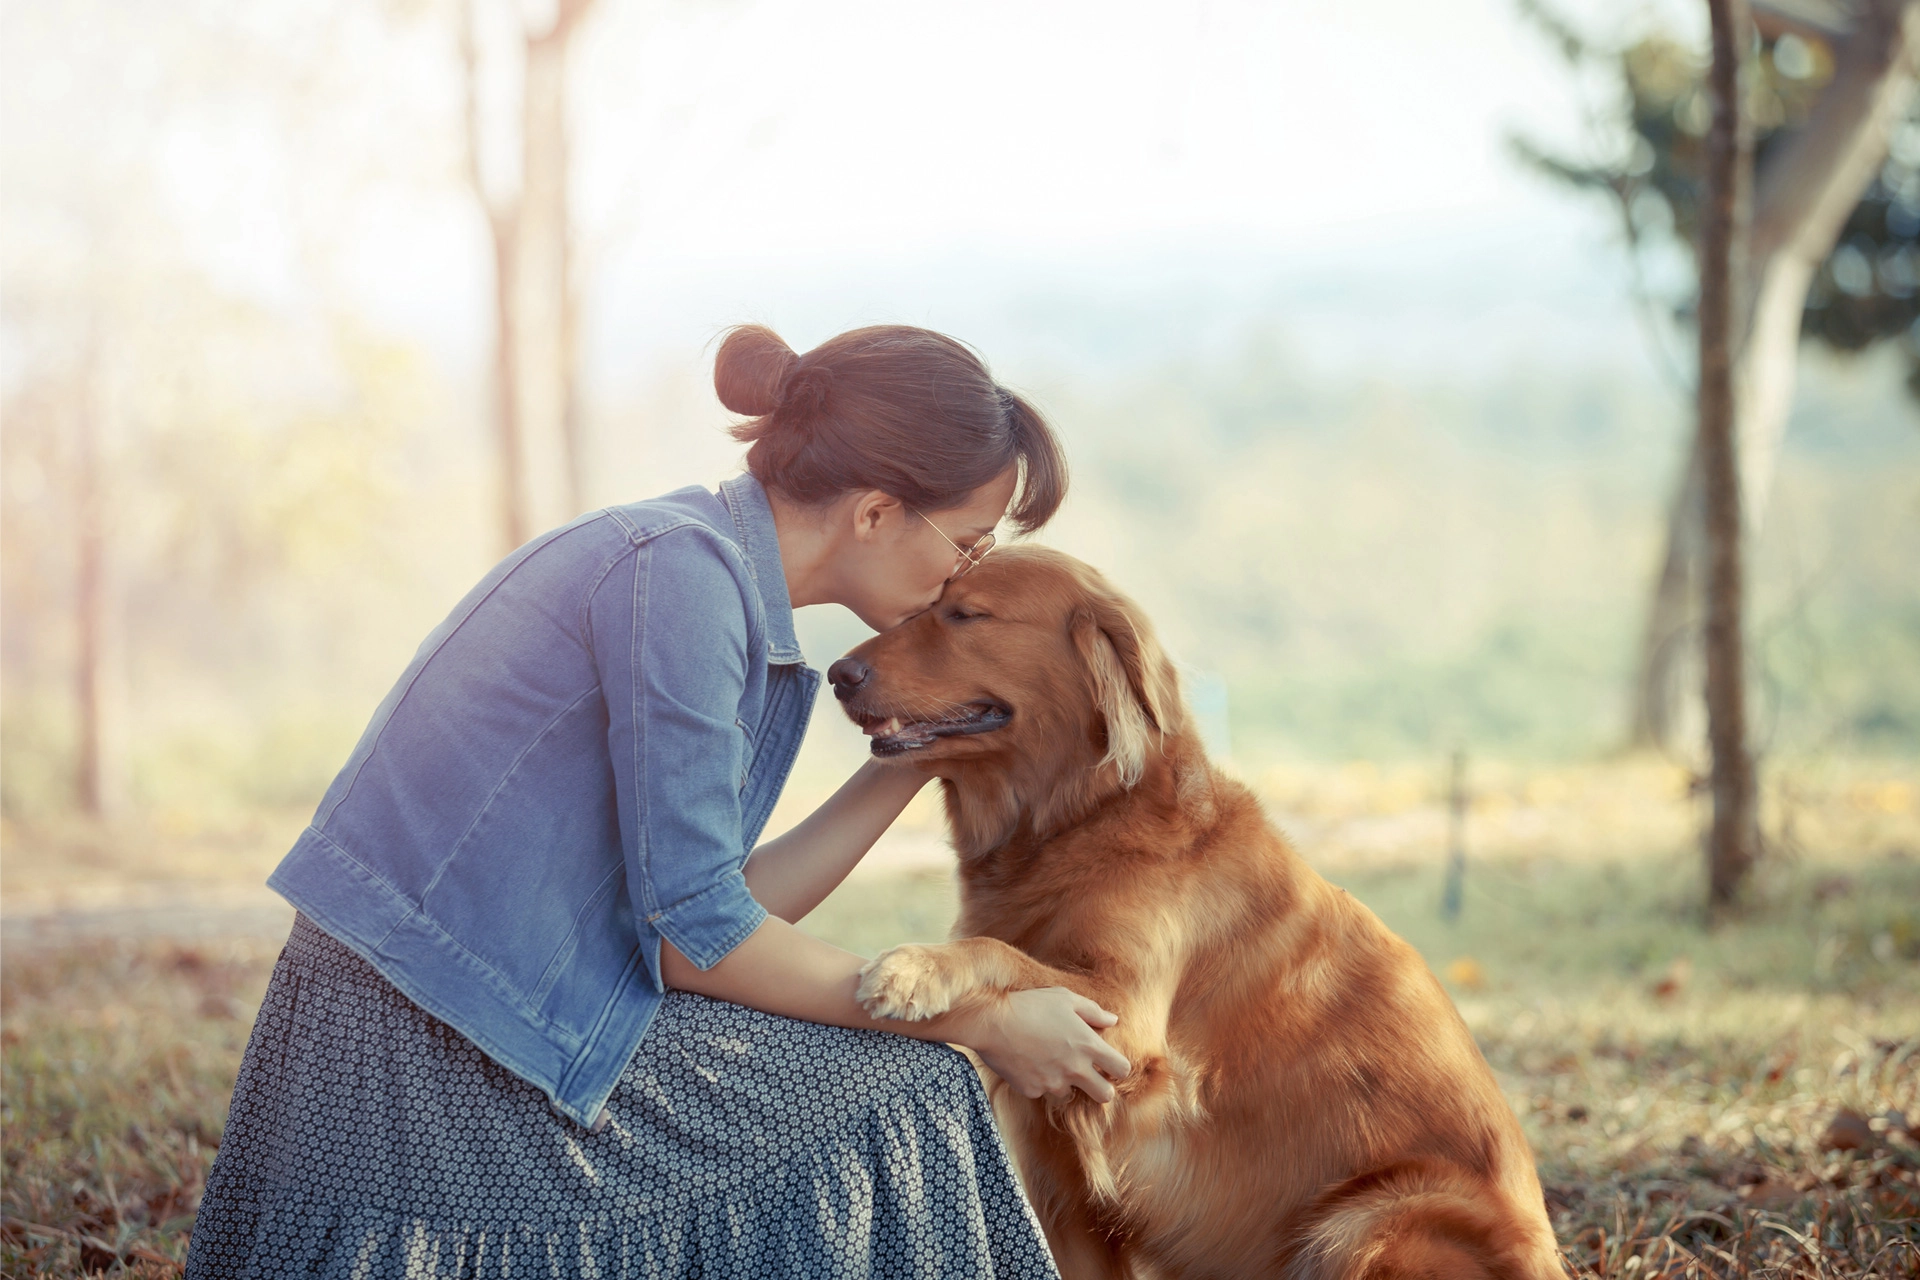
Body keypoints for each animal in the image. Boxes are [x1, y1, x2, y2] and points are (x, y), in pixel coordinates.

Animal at [825, 548, 1559, 1280]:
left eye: (966, 614)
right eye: (921, 607)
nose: (836, 675)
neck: (1081, 818)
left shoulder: (1120, 1026)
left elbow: (999, 952)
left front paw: (912, 969)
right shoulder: (1062, 1180)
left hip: (1365, 1220)